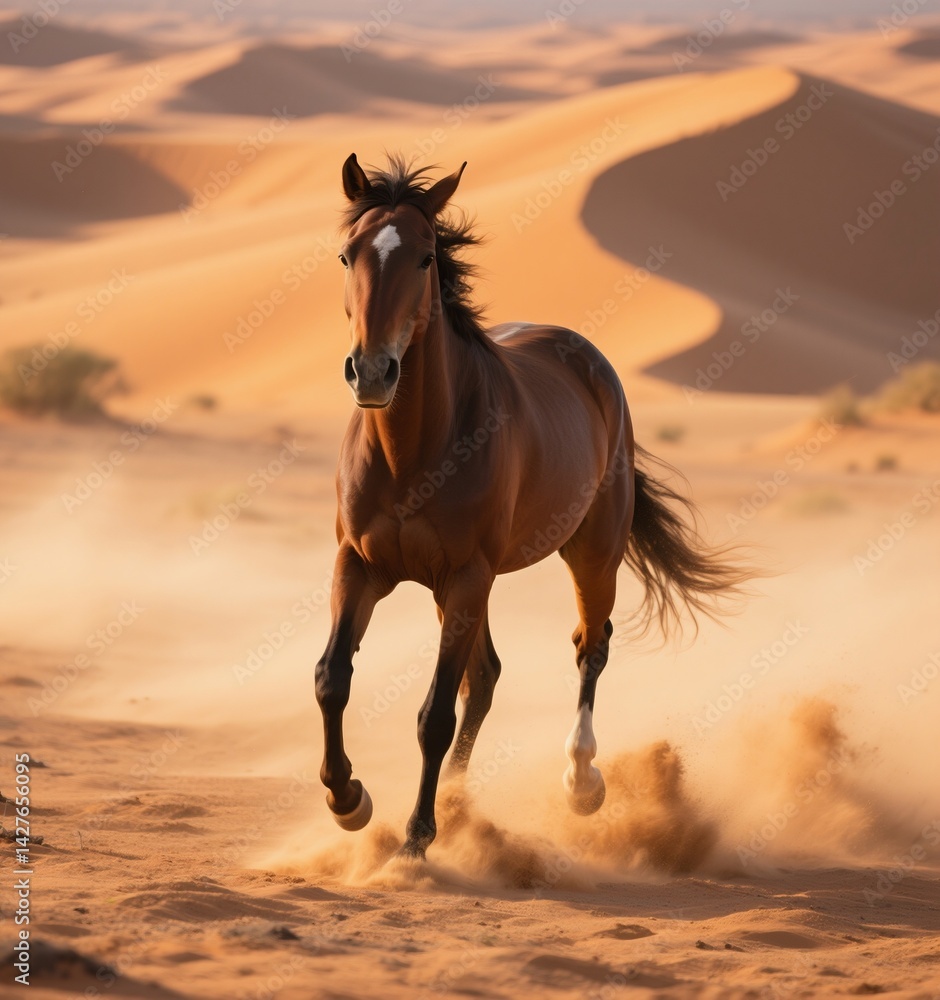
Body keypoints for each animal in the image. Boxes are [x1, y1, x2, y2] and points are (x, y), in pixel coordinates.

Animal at [314, 153, 747, 859]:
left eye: (426, 258)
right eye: (349, 254)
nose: (373, 373)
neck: (413, 453)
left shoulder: (467, 576)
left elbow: (434, 714)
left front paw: (415, 838)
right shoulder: (361, 566)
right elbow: (333, 679)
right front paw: (349, 800)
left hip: (588, 555)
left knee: (588, 647)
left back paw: (580, 782)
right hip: (457, 587)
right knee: (487, 676)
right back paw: (459, 804)